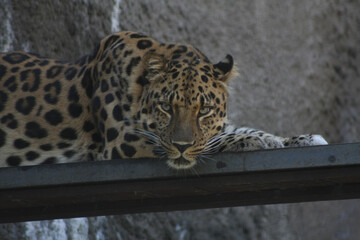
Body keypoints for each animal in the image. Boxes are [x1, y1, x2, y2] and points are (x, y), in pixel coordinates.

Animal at [0, 31, 328, 170]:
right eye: (166, 108)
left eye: (205, 110)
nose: (181, 146)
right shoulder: (125, 144)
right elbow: (212, 142)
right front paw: (254, 141)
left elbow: (228, 131)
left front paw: (297, 138)